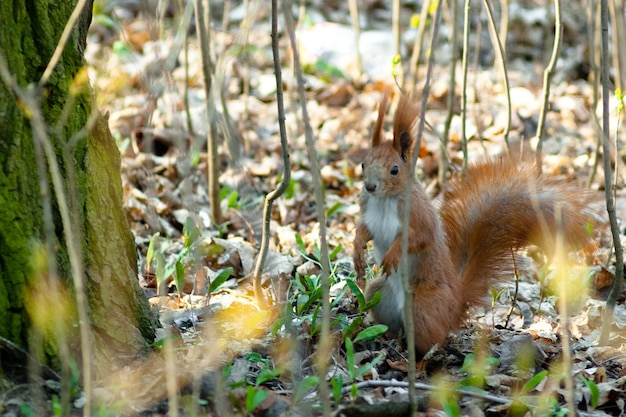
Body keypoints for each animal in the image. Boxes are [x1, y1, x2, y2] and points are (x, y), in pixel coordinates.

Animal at [352, 92, 588, 356]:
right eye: (363, 164)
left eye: (394, 170)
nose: (370, 186)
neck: (384, 200)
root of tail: (454, 305)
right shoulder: (369, 211)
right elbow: (364, 231)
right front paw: (357, 251)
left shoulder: (418, 214)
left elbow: (420, 238)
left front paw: (393, 254)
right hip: (379, 294)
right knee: (391, 321)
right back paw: (391, 339)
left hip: (422, 306)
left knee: (433, 339)